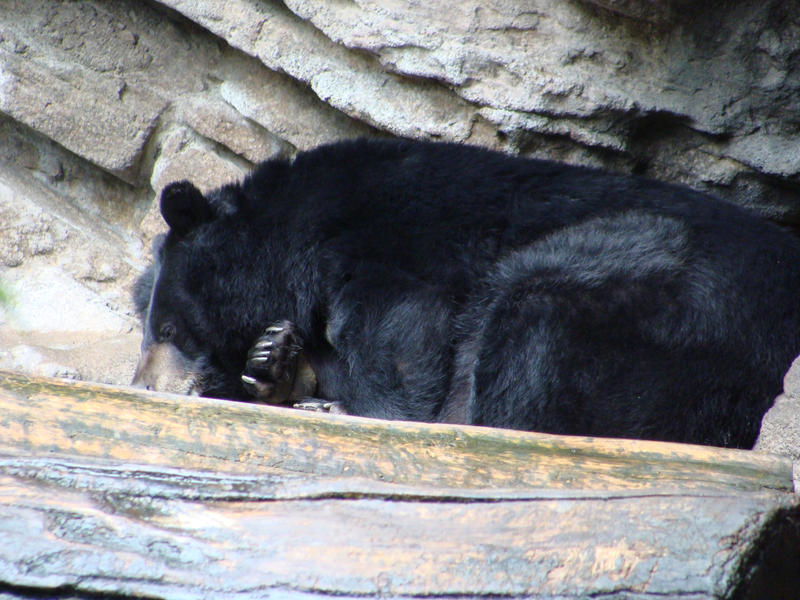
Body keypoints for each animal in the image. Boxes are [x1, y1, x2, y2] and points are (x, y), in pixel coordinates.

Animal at [134, 141, 800, 448]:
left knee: (533, 321)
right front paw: (276, 364)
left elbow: (400, 338)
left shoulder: (392, 244)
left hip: (669, 306)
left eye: (170, 330)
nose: (142, 387)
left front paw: (351, 403)